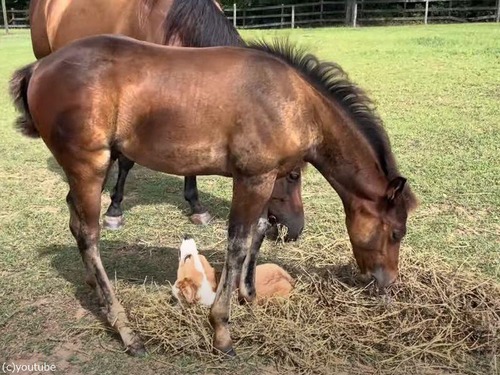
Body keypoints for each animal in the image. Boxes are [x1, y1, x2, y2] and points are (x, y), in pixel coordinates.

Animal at [10, 36, 418, 356]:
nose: (388, 282)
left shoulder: (261, 180)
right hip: (90, 165)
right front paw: (222, 330)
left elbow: (256, 233)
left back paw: (95, 287)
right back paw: (125, 329)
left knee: (75, 221)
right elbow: (238, 243)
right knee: (88, 233)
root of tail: (40, 66)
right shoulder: (254, 178)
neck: (294, 101)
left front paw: (248, 294)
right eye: (396, 232)